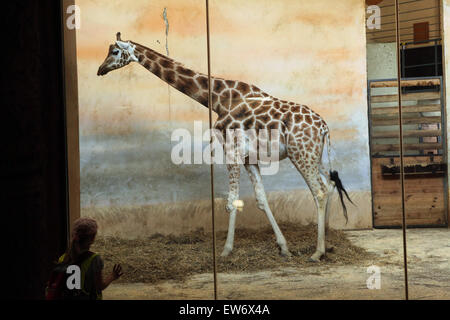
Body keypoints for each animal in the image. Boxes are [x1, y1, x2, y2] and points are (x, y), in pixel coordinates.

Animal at [97, 33, 352, 262]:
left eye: (115, 51)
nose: (100, 70)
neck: (218, 99)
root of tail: (324, 127)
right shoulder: (249, 158)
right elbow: (261, 198)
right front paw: (284, 248)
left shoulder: (231, 150)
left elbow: (232, 201)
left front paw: (226, 251)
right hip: (316, 156)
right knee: (330, 185)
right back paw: (327, 242)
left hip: (301, 155)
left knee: (319, 191)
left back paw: (317, 252)